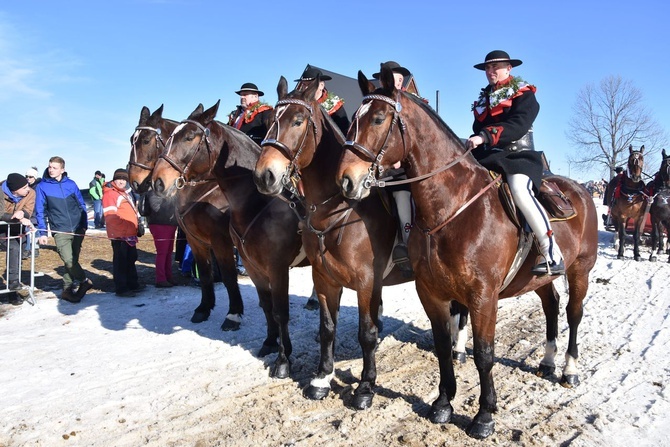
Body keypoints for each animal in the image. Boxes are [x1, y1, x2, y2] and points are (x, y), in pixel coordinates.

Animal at [129, 104, 244, 328]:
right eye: (132, 139)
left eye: (146, 140)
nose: (135, 182)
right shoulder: (195, 239)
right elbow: (206, 275)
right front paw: (203, 308)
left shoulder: (221, 241)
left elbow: (228, 276)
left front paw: (233, 314)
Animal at [151, 102, 308, 374]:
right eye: (168, 138)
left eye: (189, 137)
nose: (157, 181)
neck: (258, 203)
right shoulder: (251, 265)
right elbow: (266, 305)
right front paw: (269, 342)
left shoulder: (274, 266)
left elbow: (277, 308)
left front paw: (283, 358)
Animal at [253, 76, 414, 410]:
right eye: (271, 120)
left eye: (297, 121)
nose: (265, 176)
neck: (338, 209)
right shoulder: (324, 278)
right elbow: (327, 328)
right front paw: (322, 378)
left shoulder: (367, 282)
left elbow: (366, 333)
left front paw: (365, 387)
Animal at [336, 68, 600, 440]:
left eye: (377, 118)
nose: (346, 180)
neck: (452, 207)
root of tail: (580, 190)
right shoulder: (431, 292)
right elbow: (443, 347)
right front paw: (443, 403)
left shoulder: (483, 296)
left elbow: (485, 355)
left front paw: (485, 415)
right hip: (538, 279)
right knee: (551, 305)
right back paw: (548, 362)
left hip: (581, 271)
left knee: (574, 315)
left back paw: (569, 370)